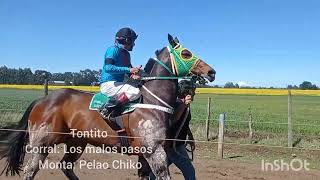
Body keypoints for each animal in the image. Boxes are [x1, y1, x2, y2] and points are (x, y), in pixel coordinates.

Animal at [0, 34, 215, 180]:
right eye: (186, 53)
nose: (211, 72)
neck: (153, 101)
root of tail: (41, 100)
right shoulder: (154, 151)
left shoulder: (147, 155)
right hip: (42, 144)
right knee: (30, 171)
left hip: (77, 143)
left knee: (66, 166)